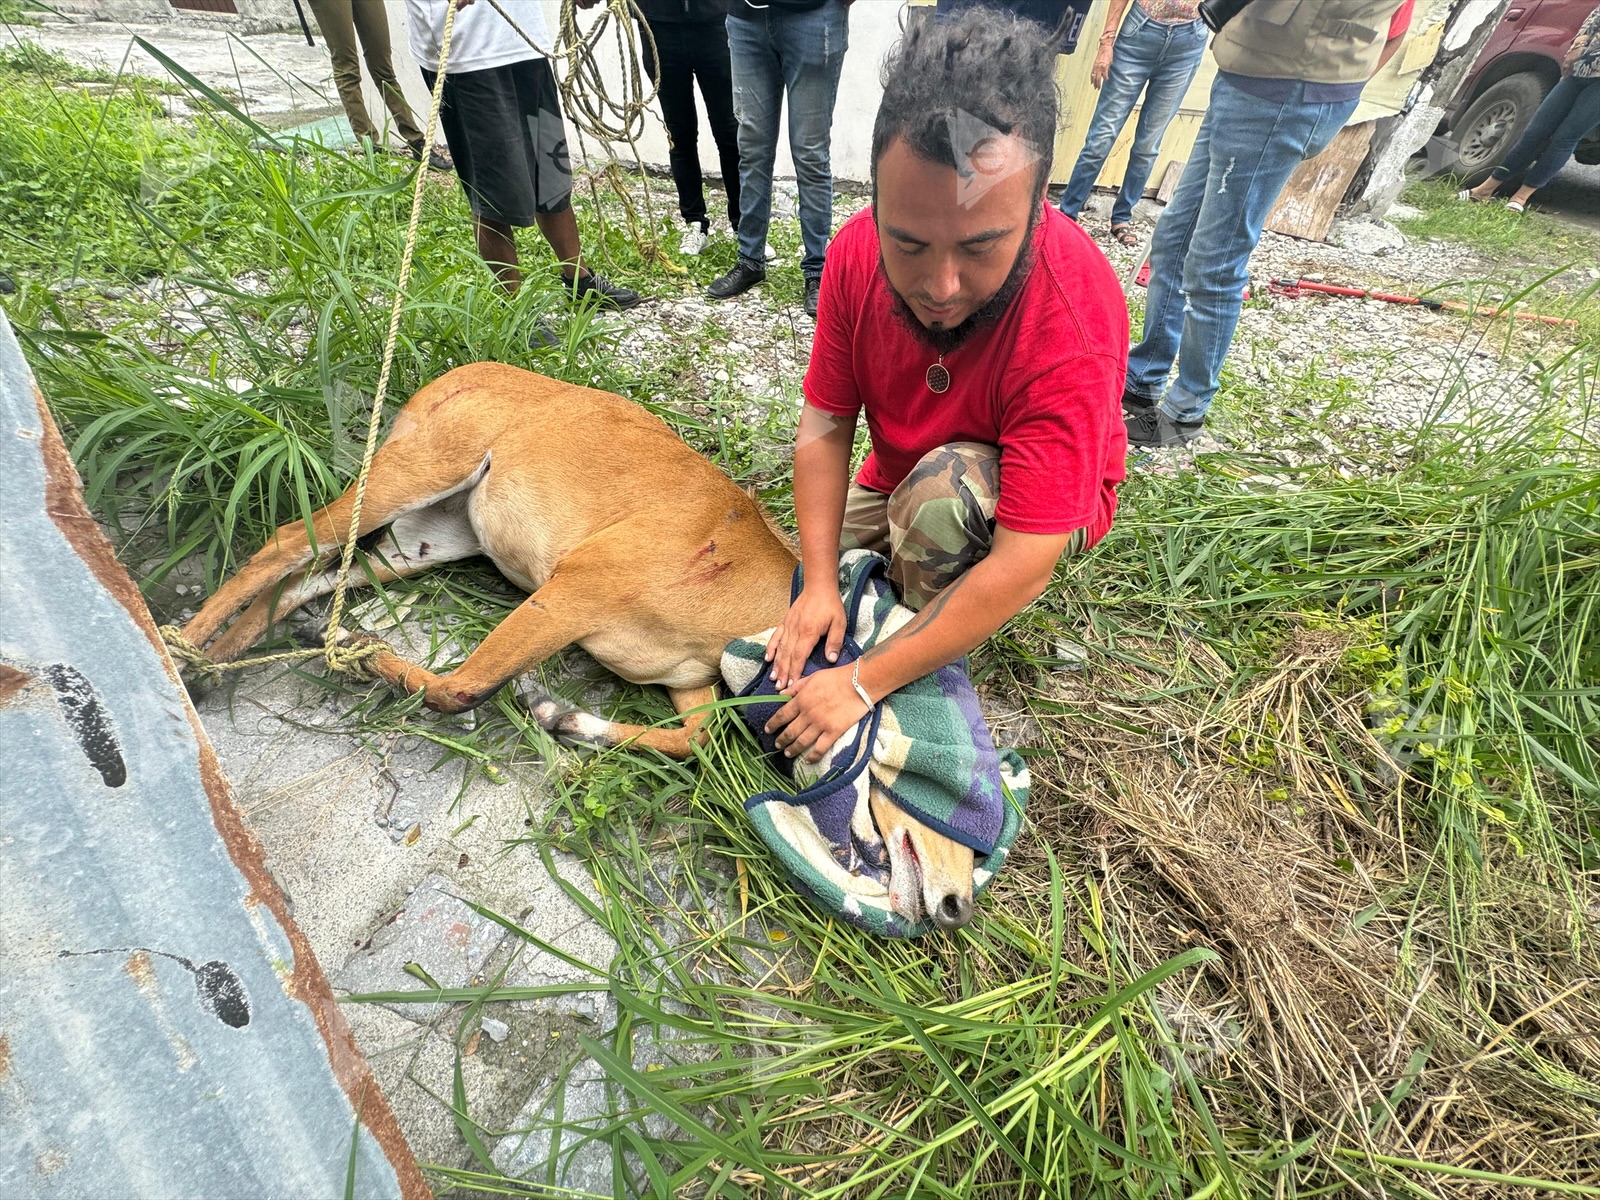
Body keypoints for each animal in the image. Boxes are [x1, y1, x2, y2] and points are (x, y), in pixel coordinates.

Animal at [175, 361, 972, 934]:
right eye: (923, 773)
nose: (957, 903)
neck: (769, 599)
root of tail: (461, 370)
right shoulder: (575, 589)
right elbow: (462, 687)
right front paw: (373, 657)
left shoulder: (685, 678)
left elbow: (691, 740)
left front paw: (558, 715)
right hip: (415, 473)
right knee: (286, 543)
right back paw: (188, 651)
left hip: (426, 542)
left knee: (307, 578)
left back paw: (247, 651)